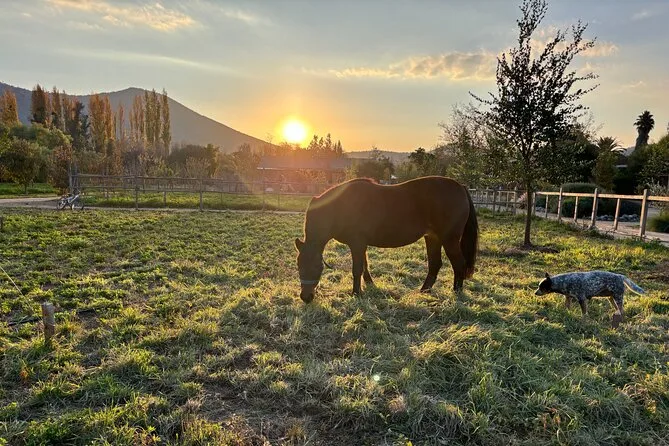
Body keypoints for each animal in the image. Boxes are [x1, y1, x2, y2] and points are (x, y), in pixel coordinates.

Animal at [295, 176, 478, 303]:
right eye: (298, 266)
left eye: (317, 266)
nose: (306, 297)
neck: (339, 207)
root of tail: (461, 187)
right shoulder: (360, 244)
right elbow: (365, 265)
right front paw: (369, 284)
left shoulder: (357, 243)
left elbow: (357, 269)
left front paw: (356, 293)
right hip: (433, 238)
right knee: (435, 264)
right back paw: (423, 291)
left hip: (449, 239)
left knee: (458, 264)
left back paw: (456, 293)